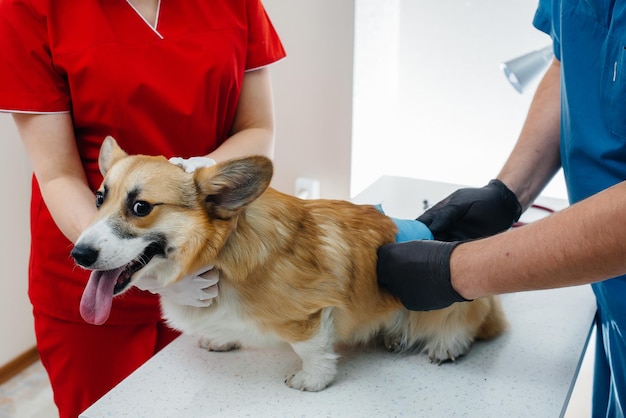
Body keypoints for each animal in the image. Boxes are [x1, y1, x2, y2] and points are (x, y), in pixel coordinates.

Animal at [70, 137, 504, 392]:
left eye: (141, 207)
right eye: (99, 199)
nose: (79, 254)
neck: (219, 256)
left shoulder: (311, 313)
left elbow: (312, 348)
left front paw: (312, 380)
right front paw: (221, 338)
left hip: (454, 297)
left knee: (468, 319)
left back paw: (445, 344)